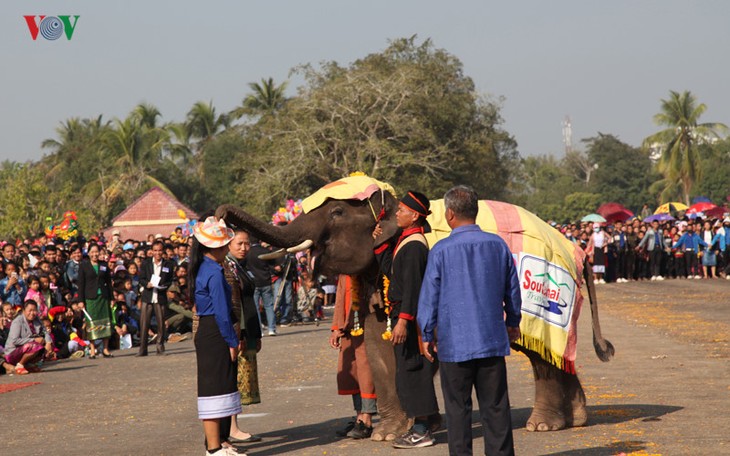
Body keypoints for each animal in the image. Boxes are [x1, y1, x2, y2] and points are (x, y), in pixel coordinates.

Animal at [213, 176, 612, 432]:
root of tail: (574, 247)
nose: (218, 215)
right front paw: (391, 432)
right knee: (556, 355)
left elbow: (407, 340)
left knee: (542, 355)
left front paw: (403, 430)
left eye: (338, 214)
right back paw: (576, 419)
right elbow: (376, 342)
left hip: (543, 298)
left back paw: (542, 425)